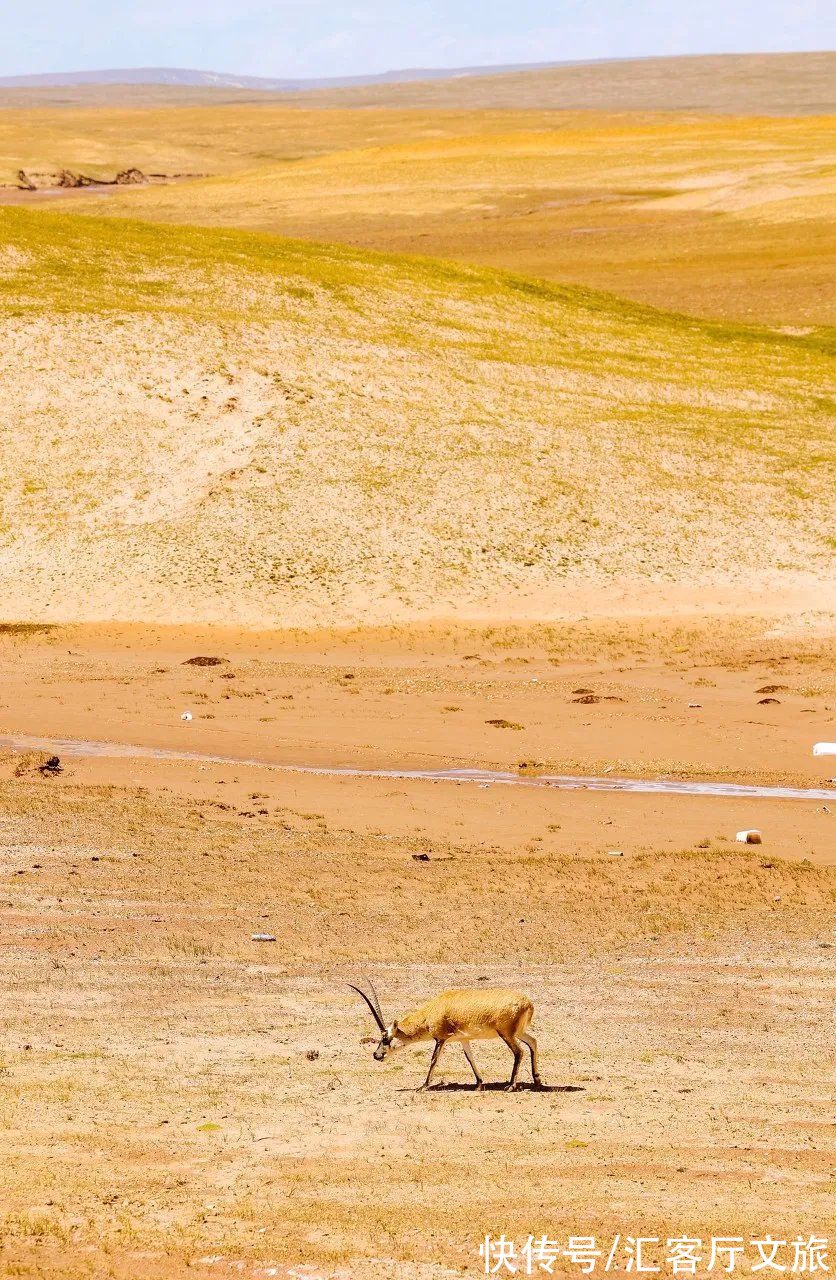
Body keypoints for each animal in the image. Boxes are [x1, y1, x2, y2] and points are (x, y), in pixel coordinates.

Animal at [345, 977, 540, 1090]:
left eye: (385, 1038)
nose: (376, 1055)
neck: (434, 1008)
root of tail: (528, 1003)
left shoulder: (440, 1039)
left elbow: (433, 1060)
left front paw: (423, 1086)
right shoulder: (463, 1039)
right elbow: (470, 1058)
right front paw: (478, 1084)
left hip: (506, 1034)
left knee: (519, 1052)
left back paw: (511, 1086)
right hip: (518, 1032)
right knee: (533, 1041)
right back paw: (537, 1080)